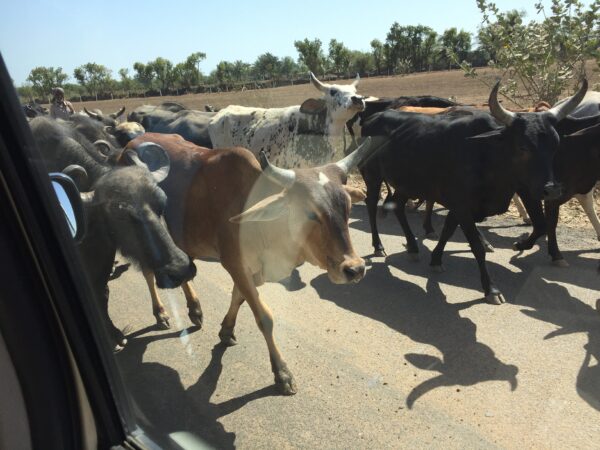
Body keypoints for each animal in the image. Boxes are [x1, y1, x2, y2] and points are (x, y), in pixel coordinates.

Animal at [29, 117, 195, 348]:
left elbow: (103, 293)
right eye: (121, 215)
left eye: (162, 203)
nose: (180, 269)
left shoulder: (104, 255)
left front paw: (114, 332)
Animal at [125, 133, 380, 394]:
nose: (355, 269)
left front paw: (226, 330)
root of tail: (129, 144)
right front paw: (282, 372)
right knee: (148, 274)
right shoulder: (235, 264)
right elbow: (264, 317)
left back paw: (195, 309)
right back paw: (161, 313)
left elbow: (238, 298)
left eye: (347, 208)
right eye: (310, 213)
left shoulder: (251, 270)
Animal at [358, 80, 588, 306]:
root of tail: (373, 117)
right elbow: (476, 246)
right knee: (371, 205)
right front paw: (491, 289)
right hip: (372, 176)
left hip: (406, 184)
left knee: (397, 205)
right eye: (523, 147)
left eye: (555, 144)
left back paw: (413, 248)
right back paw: (378, 245)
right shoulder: (462, 206)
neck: (486, 153)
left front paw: (436, 258)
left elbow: (449, 230)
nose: (552, 189)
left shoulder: (476, 203)